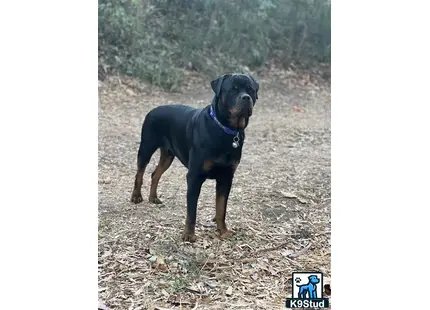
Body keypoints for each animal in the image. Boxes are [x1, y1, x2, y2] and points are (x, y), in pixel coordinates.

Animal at [130, 73, 258, 242]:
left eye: (251, 90)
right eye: (233, 89)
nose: (246, 98)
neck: (225, 130)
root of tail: (153, 109)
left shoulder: (226, 177)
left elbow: (221, 207)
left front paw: (223, 231)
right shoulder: (194, 176)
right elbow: (192, 211)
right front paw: (189, 234)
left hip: (168, 154)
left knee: (155, 173)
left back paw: (153, 197)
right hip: (146, 147)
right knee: (140, 172)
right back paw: (136, 196)